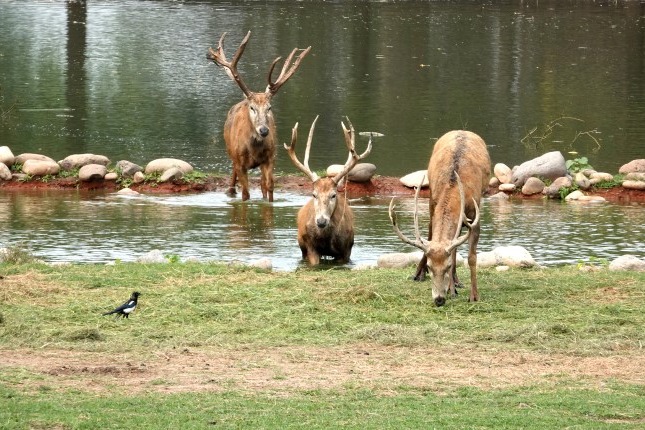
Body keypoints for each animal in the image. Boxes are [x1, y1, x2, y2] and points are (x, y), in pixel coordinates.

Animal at [207, 31, 311, 202]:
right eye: (252, 108)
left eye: (269, 108)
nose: (264, 130)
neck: (254, 148)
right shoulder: (239, 162)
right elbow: (245, 193)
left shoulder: (270, 158)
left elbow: (269, 187)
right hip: (231, 154)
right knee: (232, 181)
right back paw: (230, 191)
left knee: (262, 185)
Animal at [284, 115, 373, 265]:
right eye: (314, 194)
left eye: (333, 195)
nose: (321, 221)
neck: (326, 238)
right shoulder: (310, 246)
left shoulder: (346, 249)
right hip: (301, 245)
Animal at [389, 130, 491, 306]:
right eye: (430, 267)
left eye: (446, 266)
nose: (439, 300)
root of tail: (462, 130)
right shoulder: (433, 203)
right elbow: (433, 238)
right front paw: (450, 290)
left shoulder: (475, 214)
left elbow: (471, 257)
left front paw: (474, 296)